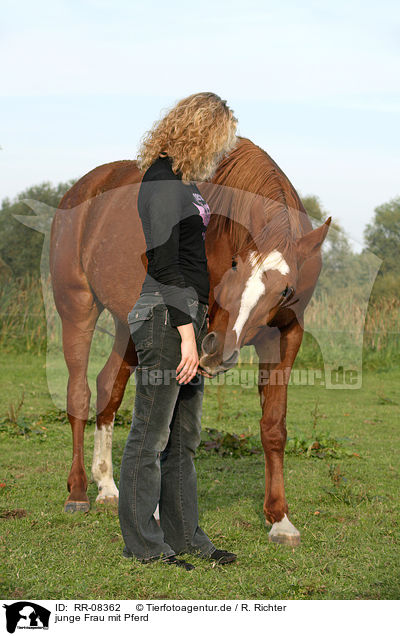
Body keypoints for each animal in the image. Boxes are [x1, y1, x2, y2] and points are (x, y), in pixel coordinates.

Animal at [50, 137, 330, 544]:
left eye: (285, 290)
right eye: (233, 264)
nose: (216, 351)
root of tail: (82, 190)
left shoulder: (284, 339)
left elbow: (273, 427)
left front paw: (279, 519)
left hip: (128, 324)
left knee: (107, 388)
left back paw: (107, 486)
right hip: (78, 308)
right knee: (79, 393)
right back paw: (78, 492)